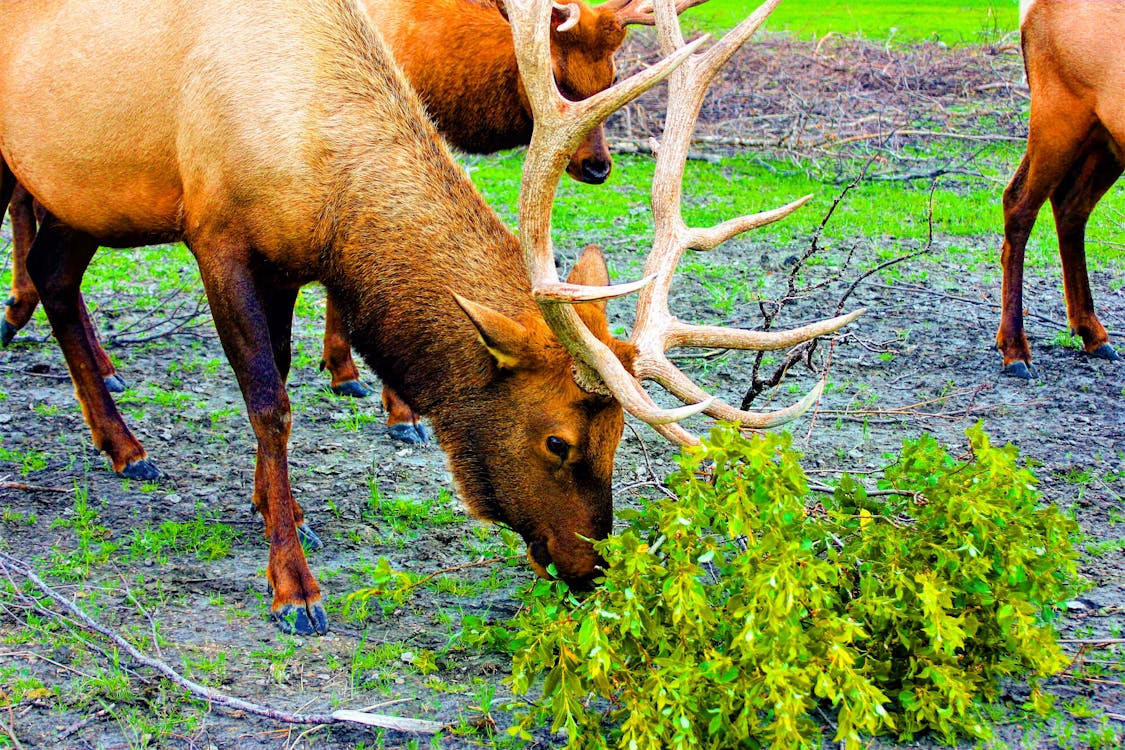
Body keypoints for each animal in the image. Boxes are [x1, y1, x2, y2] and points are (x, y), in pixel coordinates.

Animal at [2, 0, 859, 634]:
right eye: (557, 440)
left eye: (619, 435)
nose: (590, 568)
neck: (322, 193)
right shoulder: (217, 233)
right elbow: (270, 404)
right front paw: (294, 587)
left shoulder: (285, 262)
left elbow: (277, 375)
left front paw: (277, 508)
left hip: (83, 188)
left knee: (54, 275)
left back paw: (123, 446)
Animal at [999, 0, 1120, 375]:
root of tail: (1029, 8)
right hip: (1058, 112)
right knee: (1018, 202)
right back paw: (1015, 350)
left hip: (1104, 136)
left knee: (1071, 204)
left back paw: (1091, 331)